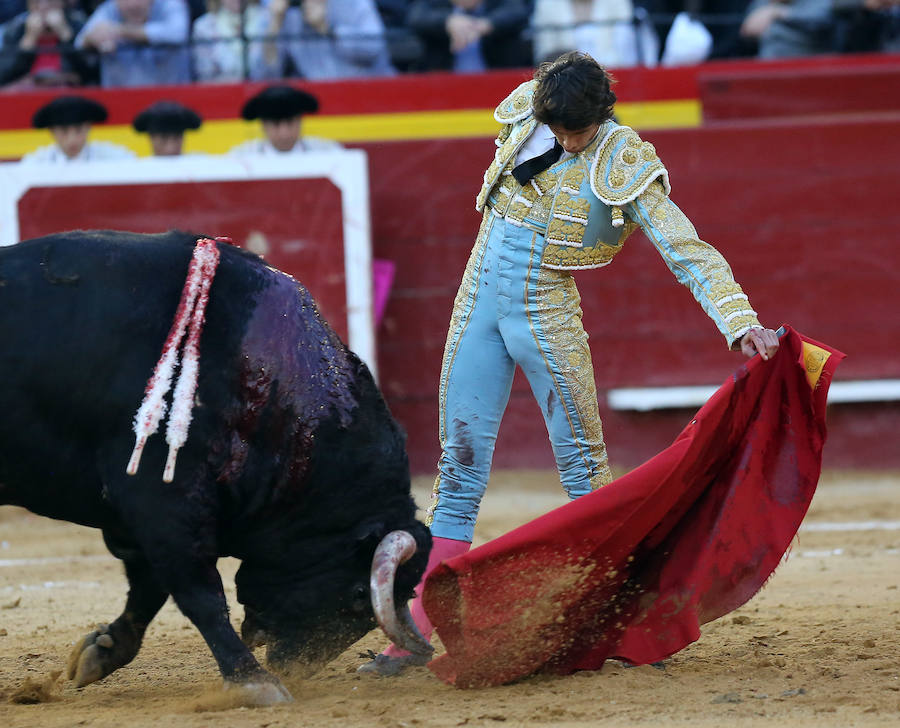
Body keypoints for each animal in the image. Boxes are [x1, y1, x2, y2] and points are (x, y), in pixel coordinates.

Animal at [0, 230, 432, 704]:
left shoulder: (139, 518)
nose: (295, 665)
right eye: (357, 594)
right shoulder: (161, 499)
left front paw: (102, 650)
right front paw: (254, 680)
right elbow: (198, 591)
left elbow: (148, 590)